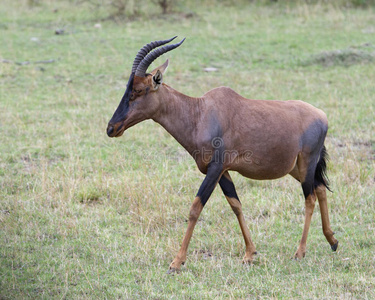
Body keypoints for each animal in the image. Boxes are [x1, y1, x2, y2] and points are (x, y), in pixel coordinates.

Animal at [107, 37, 340, 274]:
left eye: (138, 90)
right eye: (127, 88)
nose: (111, 128)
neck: (201, 113)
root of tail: (322, 116)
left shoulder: (215, 169)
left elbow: (195, 208)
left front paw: (177, 262)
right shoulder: (222, 172)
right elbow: (236, 205)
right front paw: (249, 254)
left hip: (307, 162)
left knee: (310, 197)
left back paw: (300, 252)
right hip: (296, 168)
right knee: (320, 188)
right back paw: (332, 241)